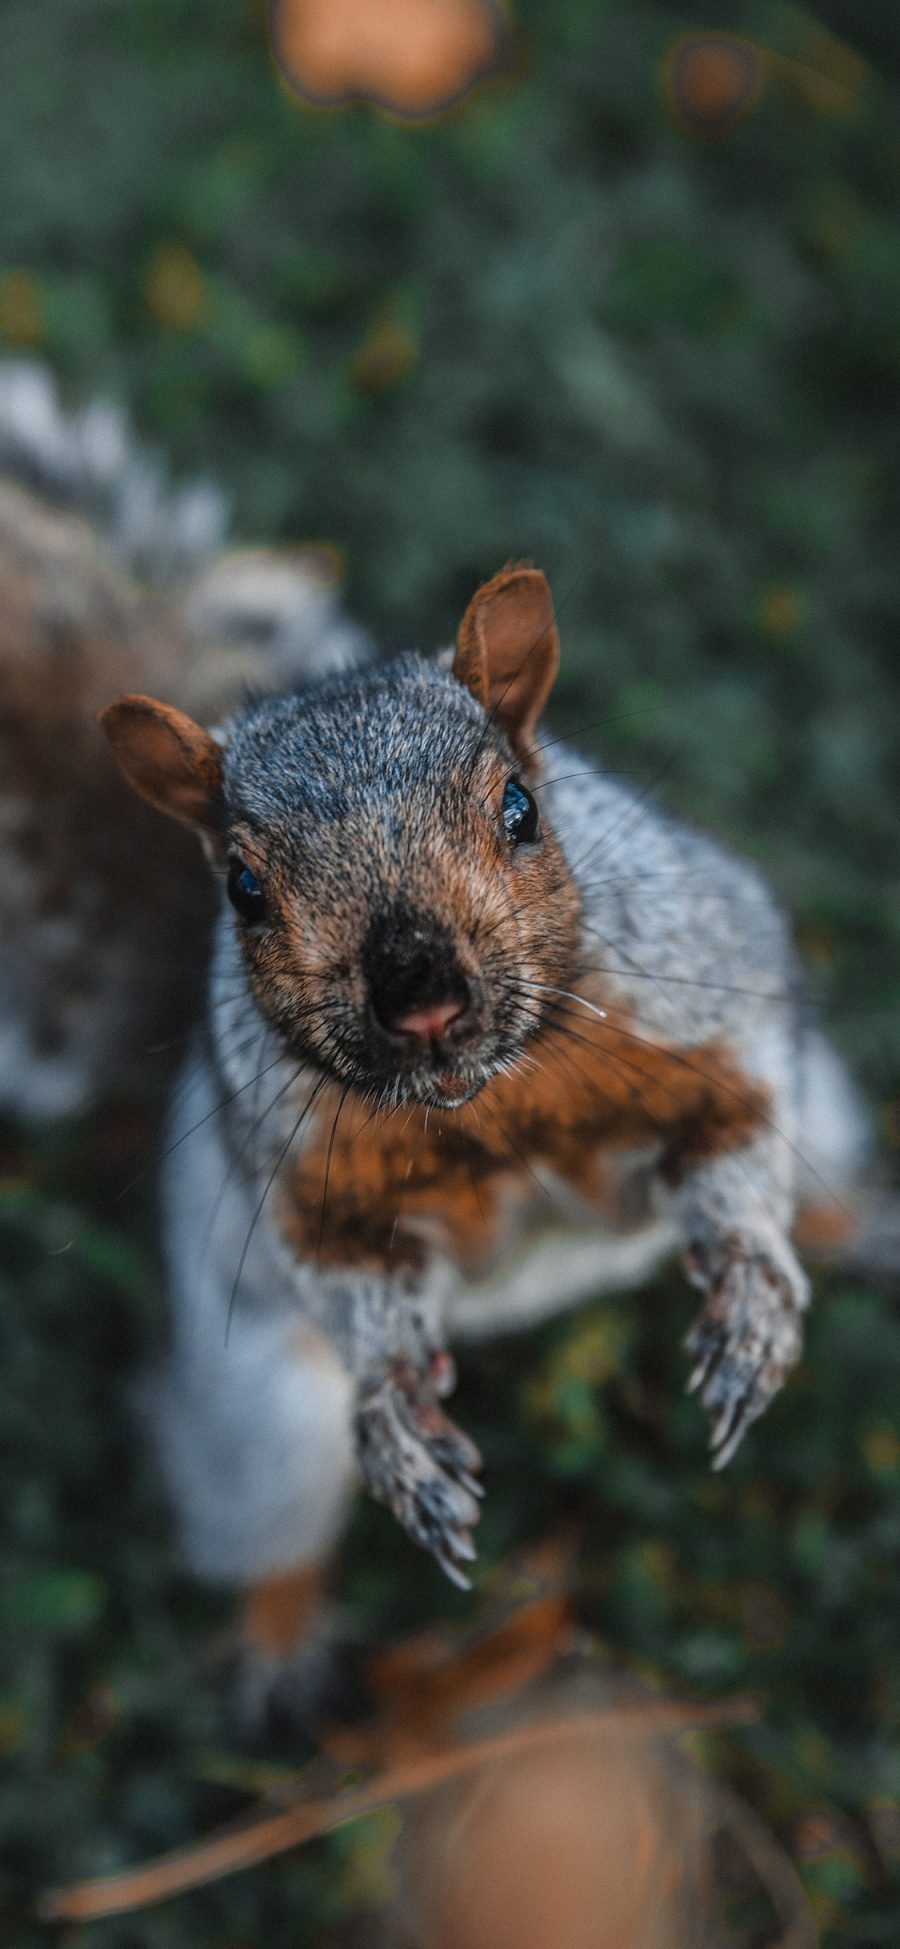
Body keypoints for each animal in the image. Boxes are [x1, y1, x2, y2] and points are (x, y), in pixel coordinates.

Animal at [0, 368, 880, 1738]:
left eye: (521, 808)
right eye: (242, 888)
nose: (419, 997)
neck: (486, 1097)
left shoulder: (718, 1011)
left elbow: (735, 1149)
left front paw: (747, 1295)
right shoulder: (305, 1189)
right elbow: (362, 1296)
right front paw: (399, 1418)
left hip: (826, 1098)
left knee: (821, 1169)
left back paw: (861, 1228)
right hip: (260, 1415)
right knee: (272, 1518)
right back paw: (282, 1643)